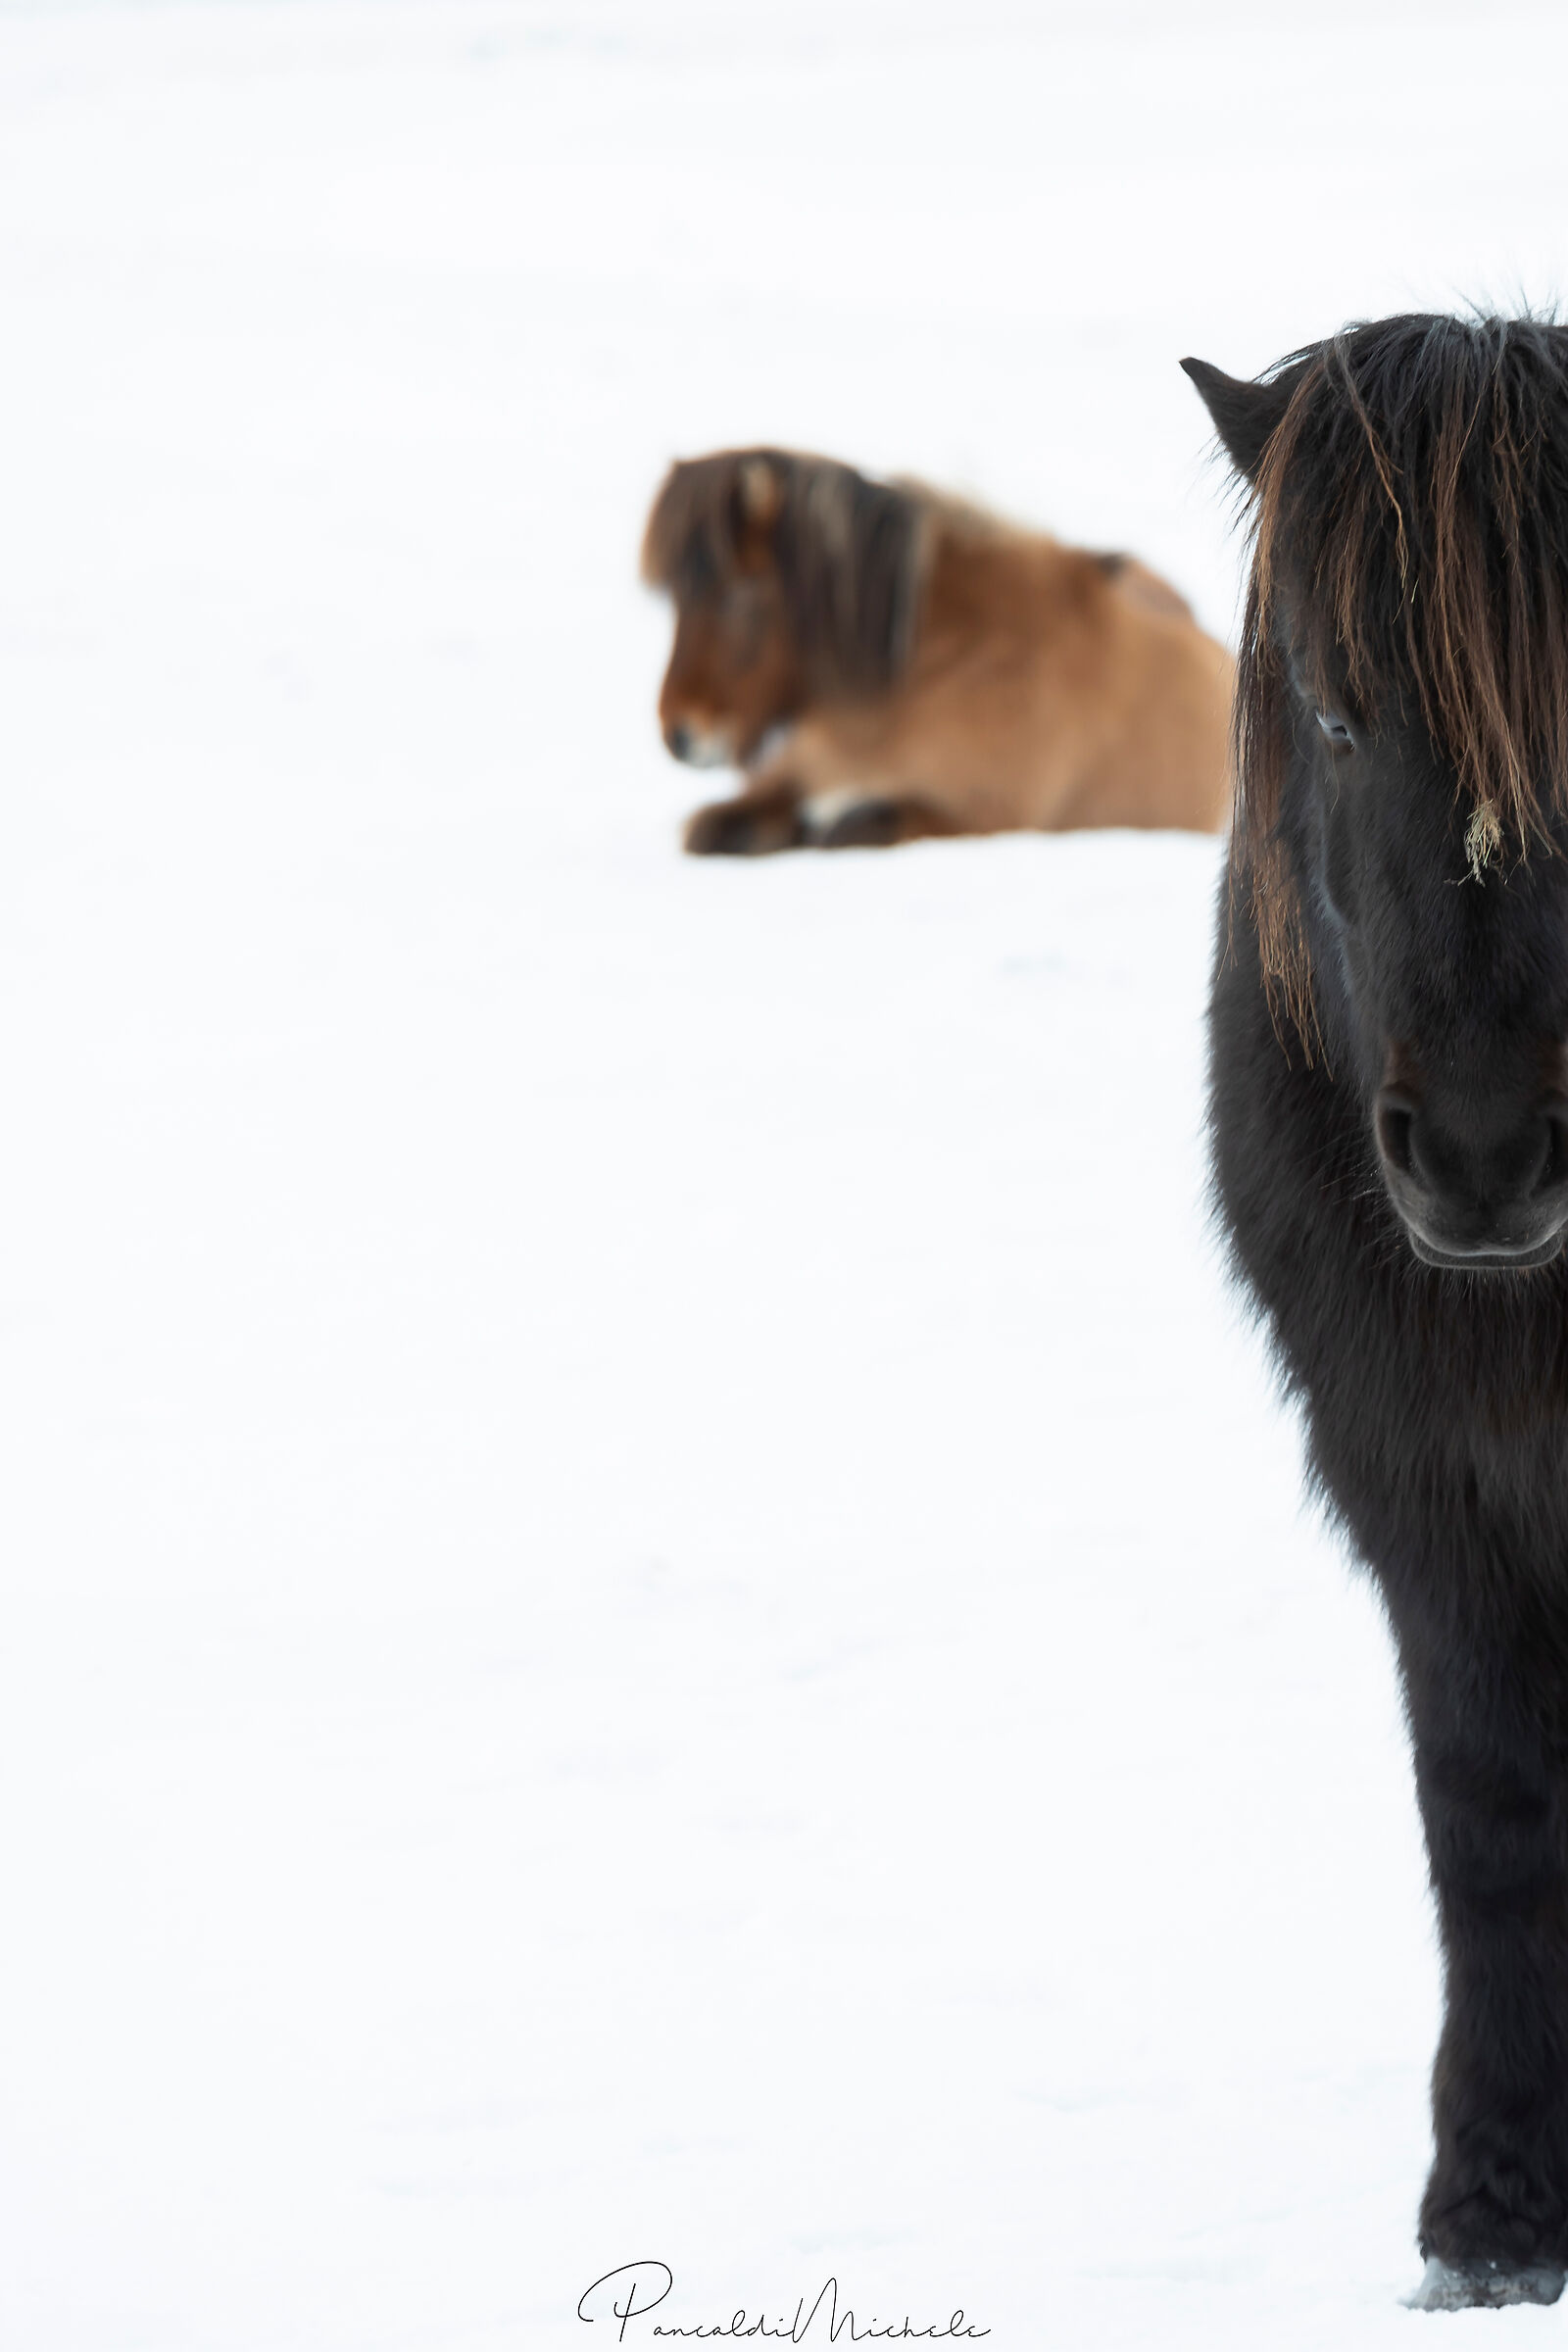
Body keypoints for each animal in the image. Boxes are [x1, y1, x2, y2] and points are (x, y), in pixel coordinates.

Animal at [641, 448, 1234, 853]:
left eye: (741, 594)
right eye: (675, 598)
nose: (680, 735)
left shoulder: (979, 814)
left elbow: (843, 827)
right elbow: (712, 829)